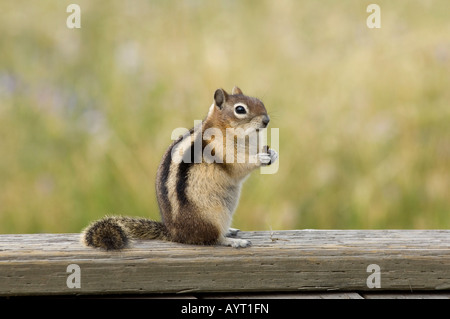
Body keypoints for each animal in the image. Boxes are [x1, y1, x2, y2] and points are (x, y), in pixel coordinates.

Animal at [81, 87, 278, 250]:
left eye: (260, 102)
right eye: (240, 110)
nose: (267, 120)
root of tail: (175, 234)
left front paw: (272, 153)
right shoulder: (222, 150)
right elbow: (239, 166)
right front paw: (260, 157)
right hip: (213, 216)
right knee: (212, 239)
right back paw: (233, 241)